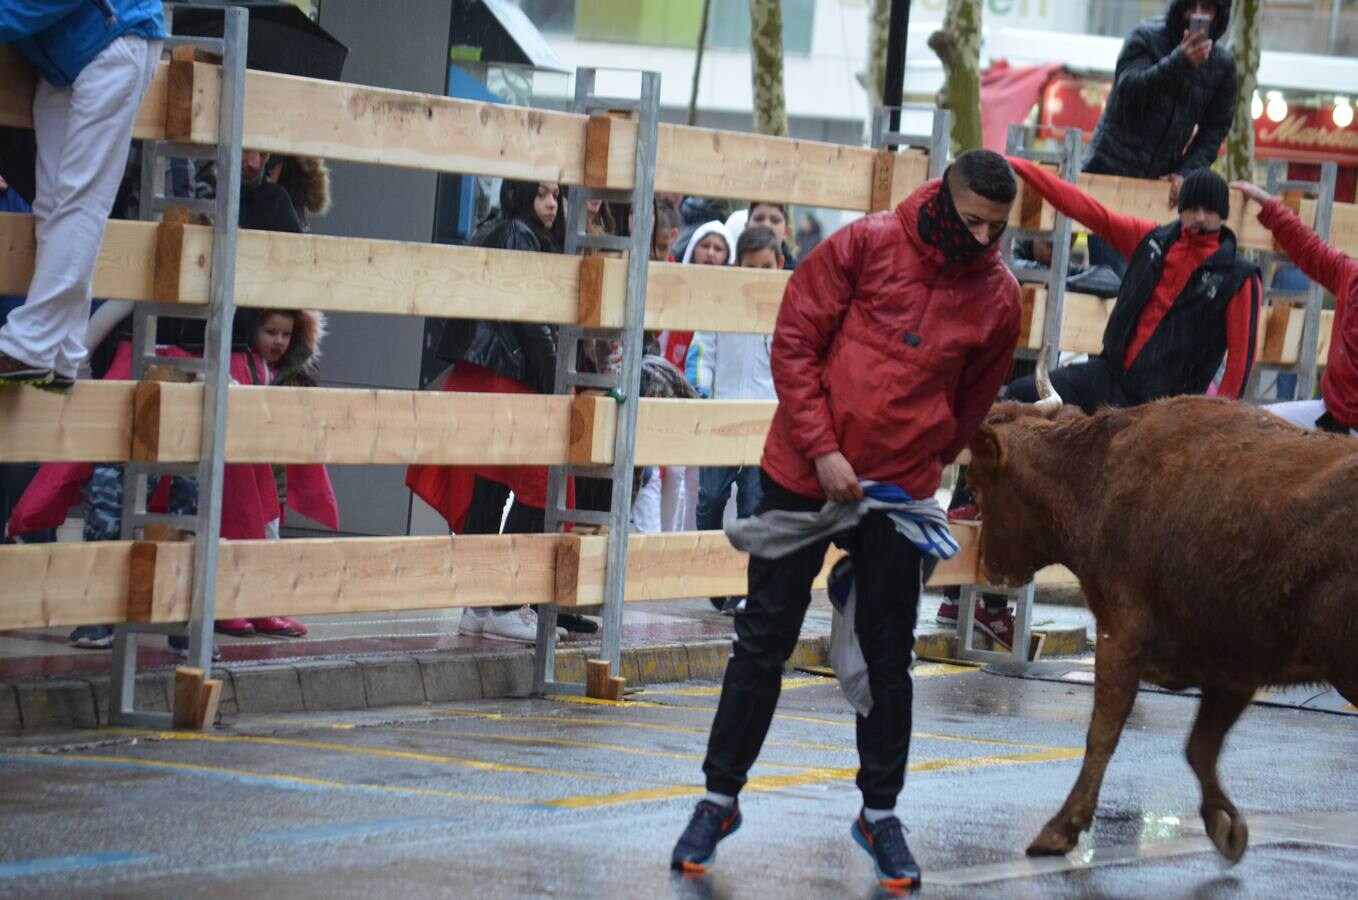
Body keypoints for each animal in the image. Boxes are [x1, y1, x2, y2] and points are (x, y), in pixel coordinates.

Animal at [972, 350, 1352, 857]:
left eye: (977, 484)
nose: (990, 568)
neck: (1098, 475)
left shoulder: (1121, 633)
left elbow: (1104, 732)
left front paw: (1060, 829)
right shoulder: (1232, 666)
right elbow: (1199, 748)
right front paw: (1225, 825)